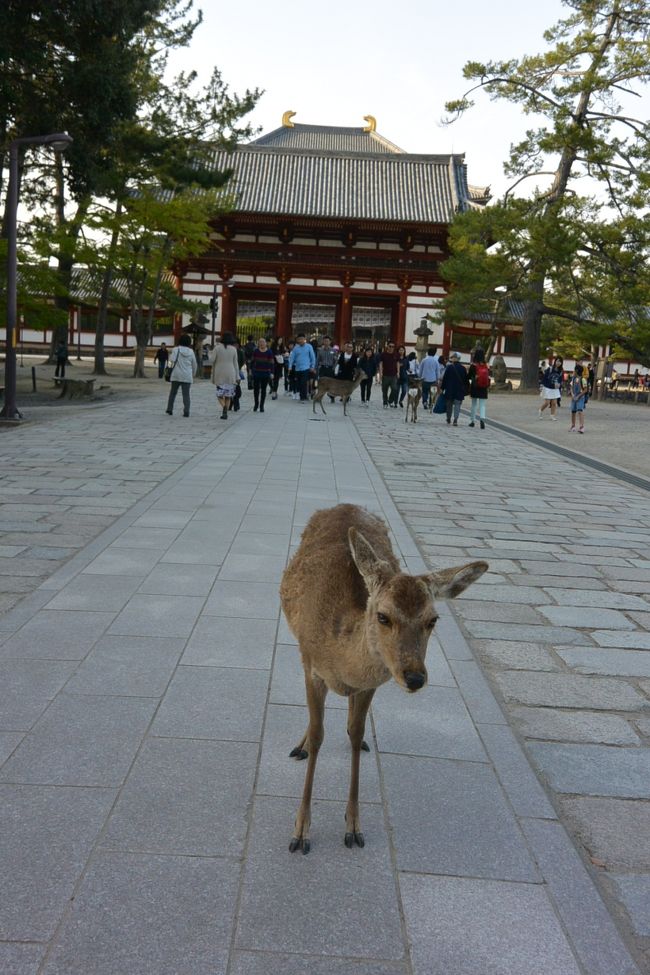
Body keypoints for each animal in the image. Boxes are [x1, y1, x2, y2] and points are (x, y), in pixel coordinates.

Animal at [279, 503, 488, 854]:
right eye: (383, 616)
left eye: (433, 620)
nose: (414, 677)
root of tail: (343, 505)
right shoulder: (311, 667)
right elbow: (320, 734)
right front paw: (300, 833)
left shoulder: (370, 686)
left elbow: (354, 732)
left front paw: (353, 827)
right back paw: (301, 744)